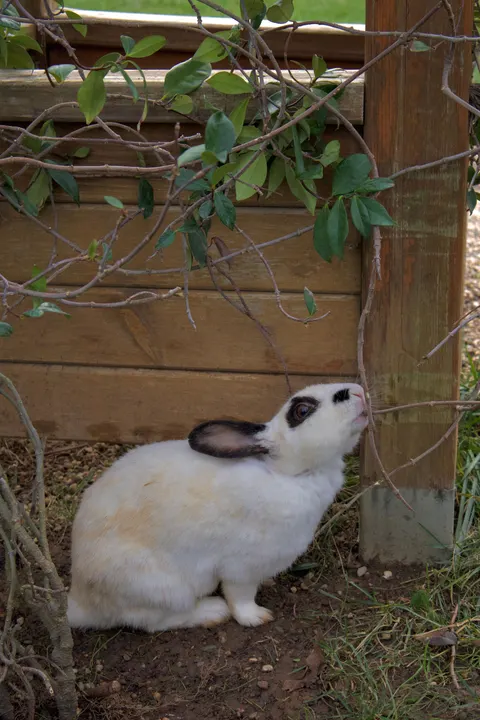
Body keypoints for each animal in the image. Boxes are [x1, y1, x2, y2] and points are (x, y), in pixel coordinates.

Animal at [67, 382, 368, 633]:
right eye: (302, 411)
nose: (359, 391)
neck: (286, 473)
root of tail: (81, 601)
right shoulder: (242, 566)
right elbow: (240, 597)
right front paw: (256, 617)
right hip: (161, 590)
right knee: (154, 622)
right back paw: (212, 612)